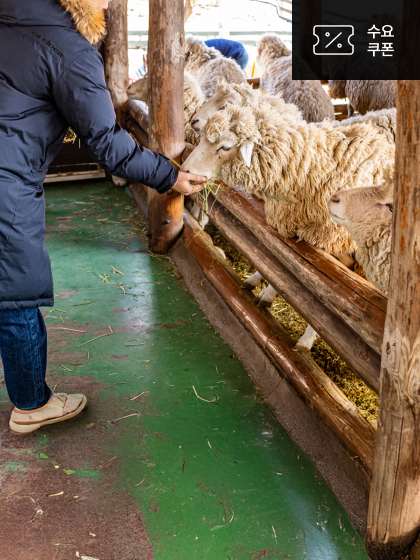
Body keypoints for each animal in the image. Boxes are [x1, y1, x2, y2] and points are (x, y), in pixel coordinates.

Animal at [182, 103, 396, 350]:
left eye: (225, 146)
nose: (184, 171)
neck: (316, 169)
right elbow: (284, 266)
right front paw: (263, 289)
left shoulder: (339, 251)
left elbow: (332, 304)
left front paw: (305, 341)